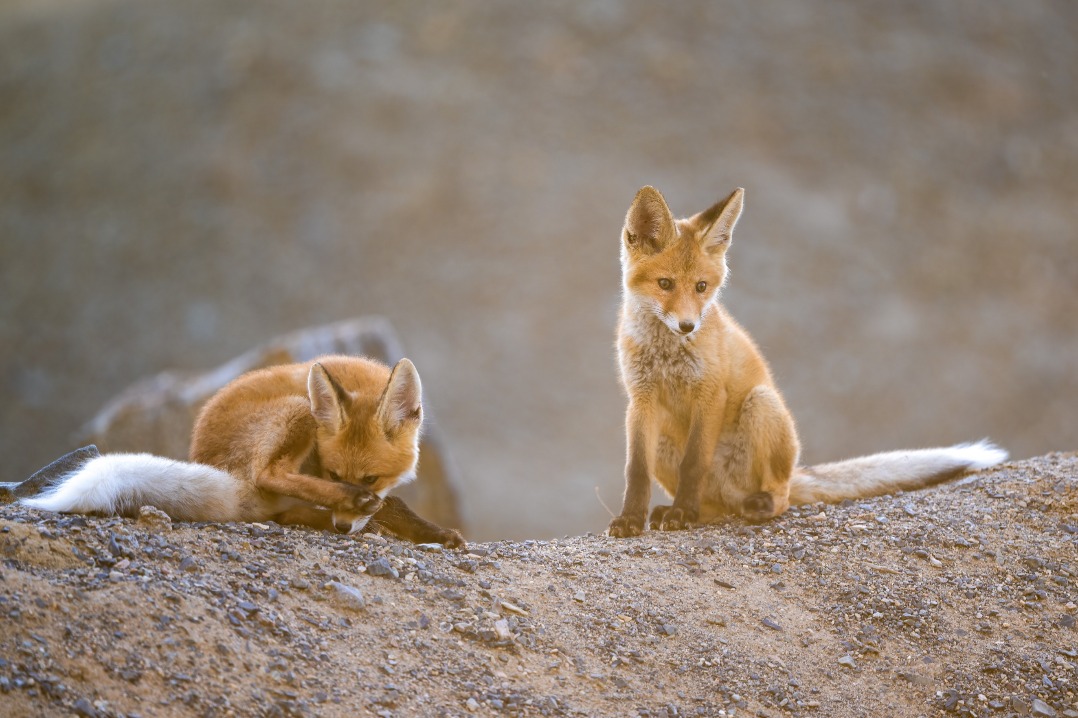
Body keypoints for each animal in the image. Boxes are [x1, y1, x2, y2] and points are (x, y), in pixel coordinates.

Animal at [9, 355, 465, 547]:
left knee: (282, 510)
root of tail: (210, 463)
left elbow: (391, 503)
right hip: (297, 408)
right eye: (334, 475)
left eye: (371, 475)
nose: (341, 528)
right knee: (270, 478)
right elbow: (389, 504)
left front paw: (430, 531)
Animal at [607, 185, 1007, 538]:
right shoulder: (640, 400)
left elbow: (694, 464)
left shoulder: (710, 393)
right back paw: (686, 511)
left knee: (779, 495)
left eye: (701, 287)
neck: (666, 355)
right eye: (665, 284)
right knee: (717, 506)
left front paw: (682, 514)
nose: (689, 326)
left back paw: (751, 505)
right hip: (668, 441)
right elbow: (636, 471)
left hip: (762, 405)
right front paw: (631, 520)